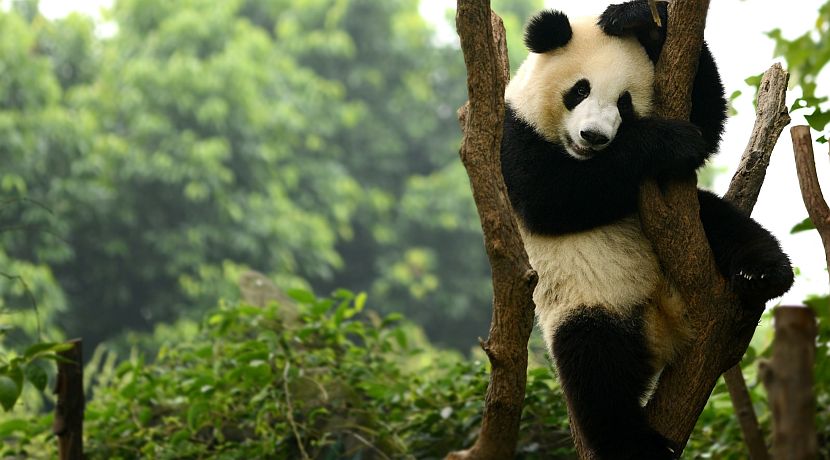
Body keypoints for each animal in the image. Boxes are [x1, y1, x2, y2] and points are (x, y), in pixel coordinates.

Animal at [500, 1, 794, 458]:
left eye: (625, 103)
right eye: (579, 90)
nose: (594, 136)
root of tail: (665, 326)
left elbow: (706, 116)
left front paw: (639, 21)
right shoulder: (513, 135)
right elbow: (550, 196)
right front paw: (667, 141)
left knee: (726, 223)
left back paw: (763, 272)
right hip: (587, 302)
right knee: (596, 372)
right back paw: (638, 445)